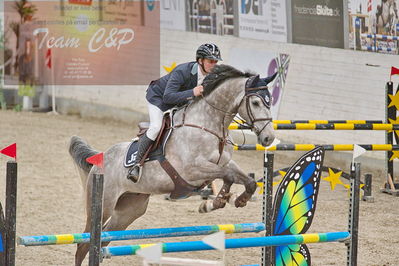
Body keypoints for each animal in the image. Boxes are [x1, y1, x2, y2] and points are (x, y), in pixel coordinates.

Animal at [69, 64, 276, 264]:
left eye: (270, 102)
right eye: (256, 103)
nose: (269, 138)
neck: (209, 125)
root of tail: (100, 158)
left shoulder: (226, 163)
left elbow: (245, 180)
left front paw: (235, 200)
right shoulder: (192, 170)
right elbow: (228, 175)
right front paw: (215, 202)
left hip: (130, 210)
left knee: (104, 238)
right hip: (104, 205)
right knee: (84, 243)